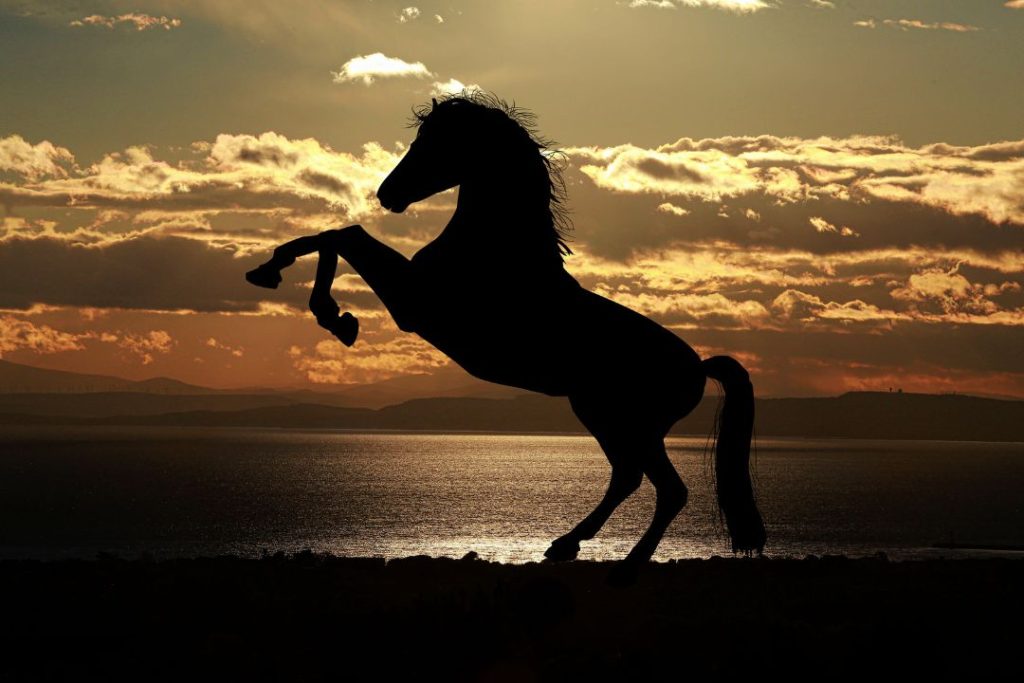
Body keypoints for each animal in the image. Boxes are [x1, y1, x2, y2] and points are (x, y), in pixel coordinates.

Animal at [245, 92, 766, 583]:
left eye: (435, 141)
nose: (387, 193)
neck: (496, 251)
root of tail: (697, 367)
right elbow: (335, 235)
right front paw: (282, 279)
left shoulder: (413, 303)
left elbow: (344, 235)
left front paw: (328, 312)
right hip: (603, 416)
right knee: (628, 477)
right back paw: (565, 545)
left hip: (627, 422)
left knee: (667, 489)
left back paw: (623, 568)